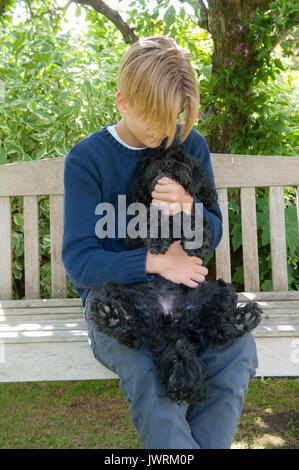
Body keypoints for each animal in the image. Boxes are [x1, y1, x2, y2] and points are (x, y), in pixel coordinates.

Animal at [85, 146, 262, 404]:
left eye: (180, 159)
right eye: (155, 158)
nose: (167, 164)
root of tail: (172, 327)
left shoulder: (192, 213)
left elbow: (196, 216)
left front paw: (195, 240)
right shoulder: (135, 233)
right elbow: (151, 216)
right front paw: (158, 239)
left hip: (221, 290)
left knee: (212, 329)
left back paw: (240, 320)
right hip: (112, 288)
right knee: (133, 332)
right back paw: (113, 317)